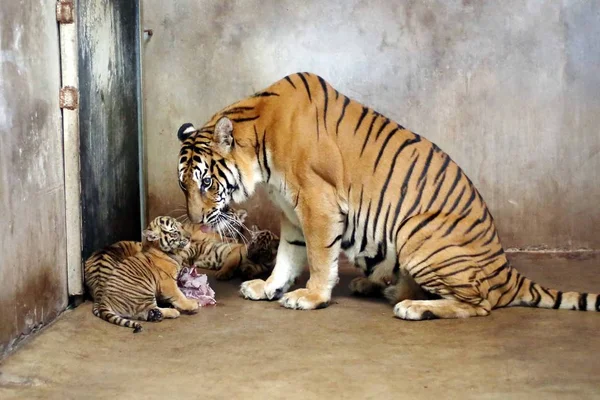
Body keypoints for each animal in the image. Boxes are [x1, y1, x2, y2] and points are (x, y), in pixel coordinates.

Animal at [176, 72, 596, 320]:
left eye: (206, 183)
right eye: (184, 185)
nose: (196, 221)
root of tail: (506, 270)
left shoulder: (317, 204)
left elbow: (319, 257)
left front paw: (311, 296)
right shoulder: (292, 212)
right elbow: (287, 255)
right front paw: (268, 288)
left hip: (418, 233)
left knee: (480, 304)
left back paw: (413, 306)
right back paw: (385, 287)